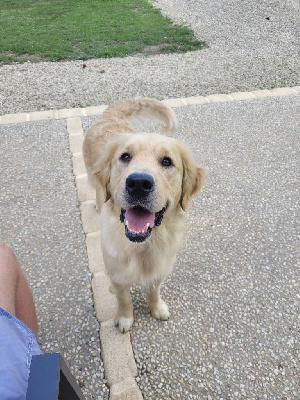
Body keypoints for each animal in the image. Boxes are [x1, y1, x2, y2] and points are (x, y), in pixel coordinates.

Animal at [82, 98, 204, 332]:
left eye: (167, 161)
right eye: (125, 157)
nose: (139, 183)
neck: (143, 245)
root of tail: (111, 114)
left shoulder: (159, 270)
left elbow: (153, 292)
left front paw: (157, 309)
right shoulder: (117, 275)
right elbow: (124, 299)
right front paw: (125, 319)